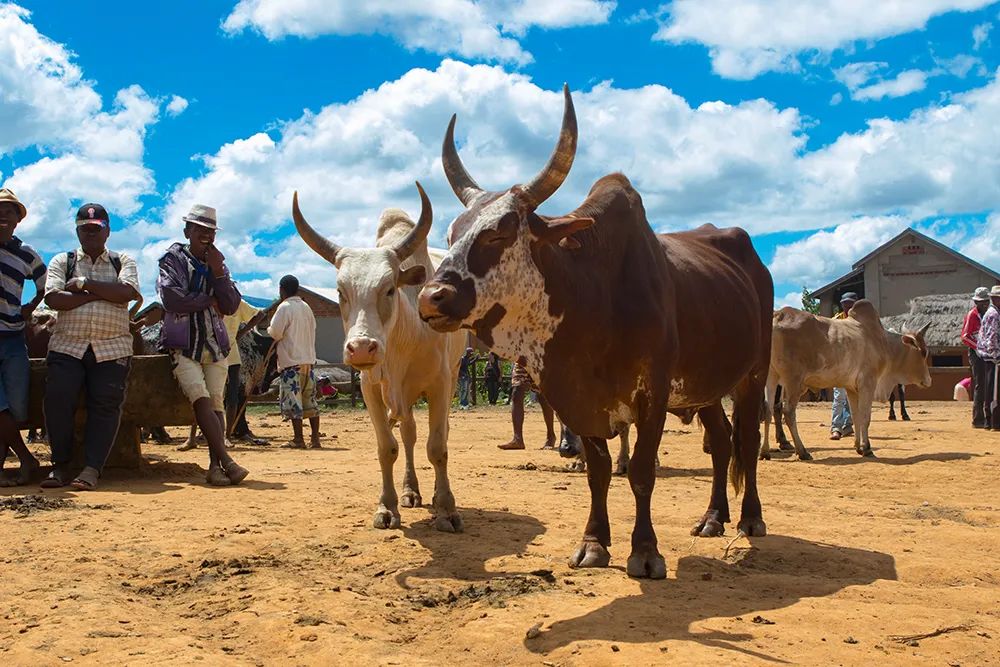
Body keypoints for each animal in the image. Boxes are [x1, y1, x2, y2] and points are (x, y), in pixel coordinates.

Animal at [288, 184, 462, 532]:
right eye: (340, 291)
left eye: (390, 289)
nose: (361, 347)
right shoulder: (371, 389)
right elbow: (387, 448)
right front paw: (388, 507)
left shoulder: (440, 384)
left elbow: (438, 447)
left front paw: (447, 510)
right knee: (408, 434)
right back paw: (411, 491)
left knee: (438, 434)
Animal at [416, 87, 772, 580]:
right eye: (451, 234)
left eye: (499, 232)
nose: (432, 297)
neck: (595, 302)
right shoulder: (577, 400)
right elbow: (597, 471)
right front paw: (594, 543)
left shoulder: (652, 395)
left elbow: (641, 471)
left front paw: (646, 551)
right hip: (704, 388)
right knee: (721, 444)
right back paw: (713, 517)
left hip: (753, 374)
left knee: (748, 441)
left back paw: (751, 518)